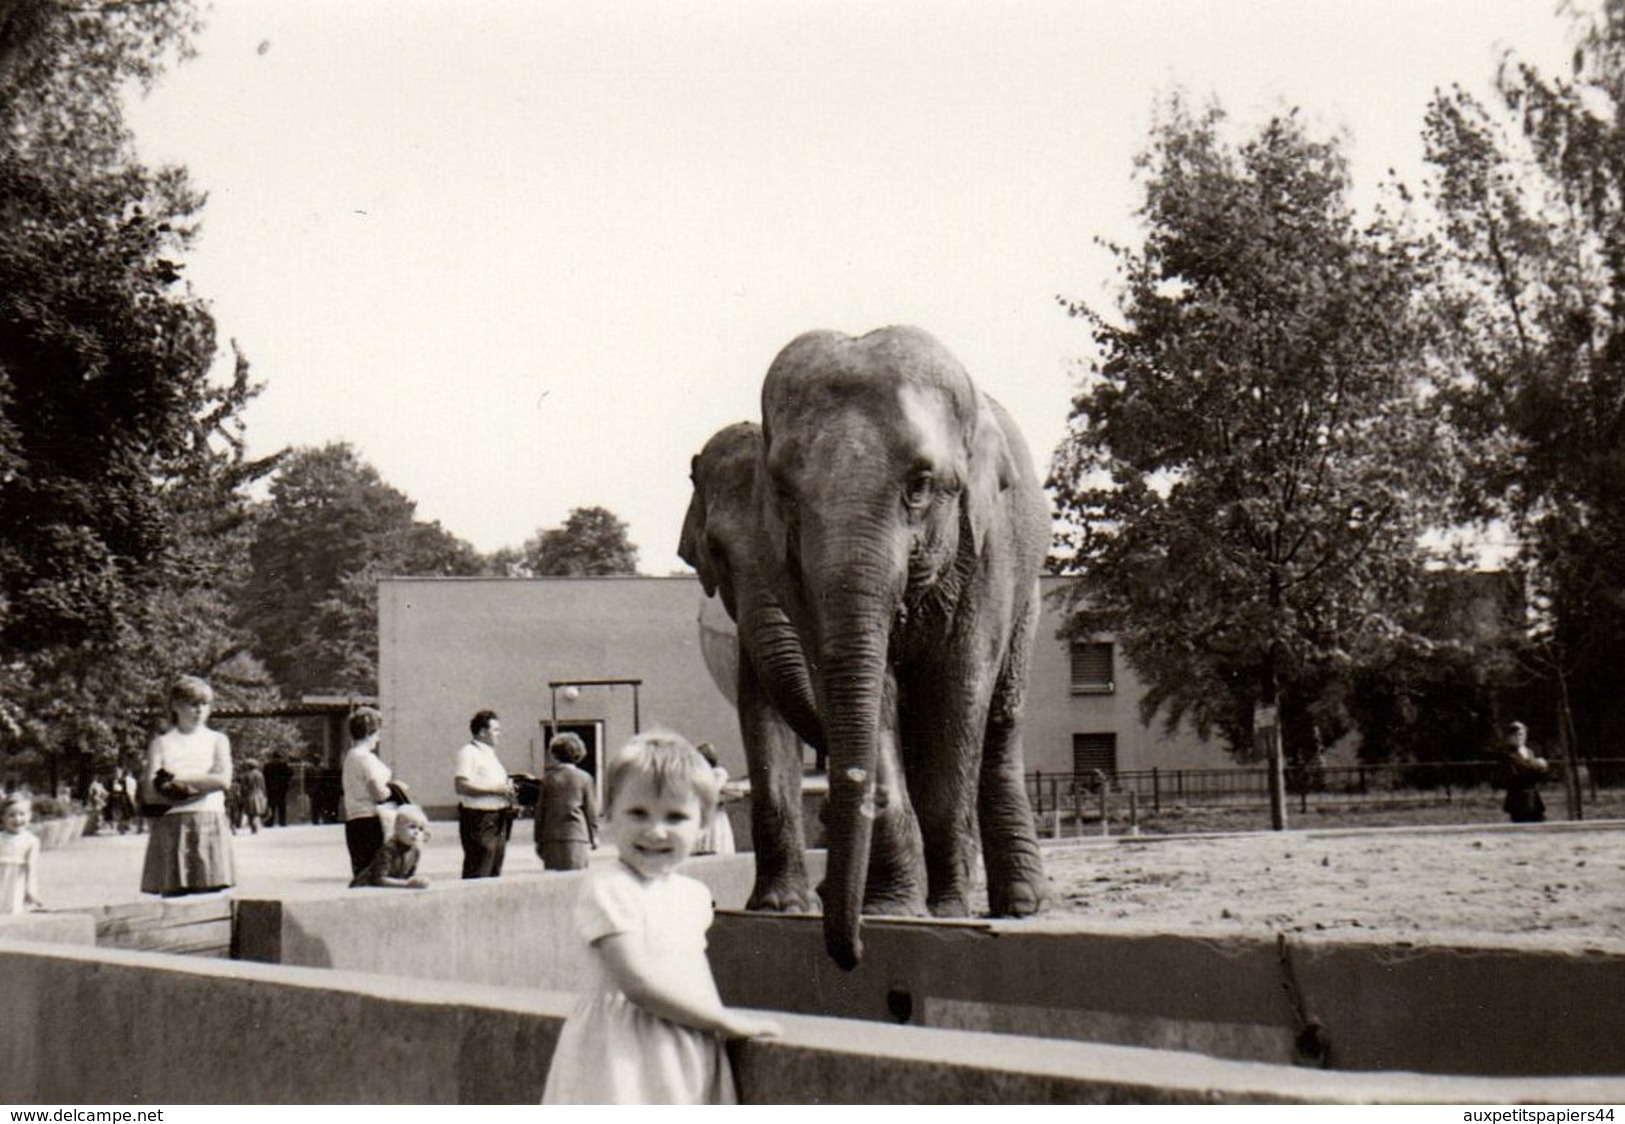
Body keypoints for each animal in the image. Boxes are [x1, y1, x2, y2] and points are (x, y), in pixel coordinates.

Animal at [754, 323, 1046, 968]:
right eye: (784, 491)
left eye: (921, 486)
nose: (852, 954)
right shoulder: (793, 574)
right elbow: (866, 691)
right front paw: (896, 911)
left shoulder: (988, 552)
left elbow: (959, 692)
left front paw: (948, 915)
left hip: (1031, 595)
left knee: (1002, 719)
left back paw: (1020, 904)